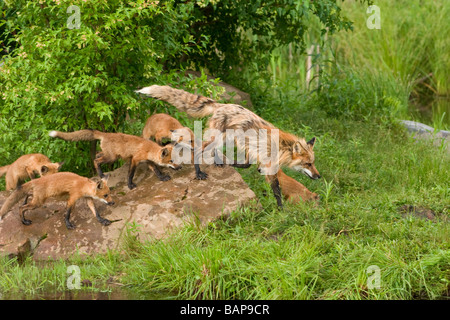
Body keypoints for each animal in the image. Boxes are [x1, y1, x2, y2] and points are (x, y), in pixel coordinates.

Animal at [49, 129, 181, 190]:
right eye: (171, 161)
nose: (180, 167)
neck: (148, 149)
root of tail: (104, 134)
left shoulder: (148, 162)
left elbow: (157, 170)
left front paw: (162, 177)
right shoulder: (134, 160)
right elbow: (130, 174)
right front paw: (130, 185)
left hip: (109, 155)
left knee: (97, 155)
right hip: (111, 158)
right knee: (96, 161)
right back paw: (101, 175)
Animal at [136, 84, 320, 206]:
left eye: (313, 163)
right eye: (308, 164)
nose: (319, 177)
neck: (282, 148)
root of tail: (222, 104)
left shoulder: (253, 152)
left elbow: (246, 165)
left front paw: (233, 165)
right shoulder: (269, 165)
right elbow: (277, 191)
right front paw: (281, 210)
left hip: (228, 138)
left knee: (213, 150)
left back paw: (218, 161)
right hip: (218, 137)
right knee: (198, 150)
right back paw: (199, 172)